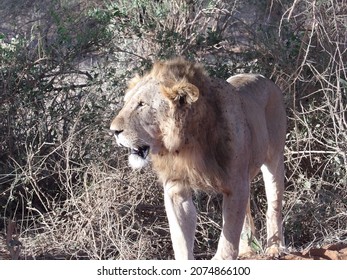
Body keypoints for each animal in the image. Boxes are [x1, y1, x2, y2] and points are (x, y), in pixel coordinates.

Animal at [110, 58, 286, 260]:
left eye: (141, 104)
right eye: (127, 103)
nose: (113, 131)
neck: (185, 144)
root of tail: (263, 77)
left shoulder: (236, 184)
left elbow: (230, 232)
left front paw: (222, 258)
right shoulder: (176, 188)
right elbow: (180, 237)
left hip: (274, 159)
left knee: (274, 205)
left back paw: (276, 248)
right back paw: (247, 251)